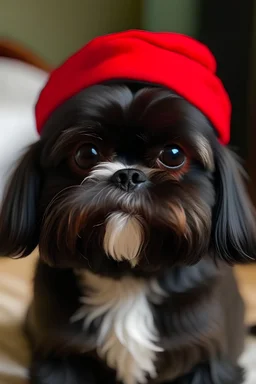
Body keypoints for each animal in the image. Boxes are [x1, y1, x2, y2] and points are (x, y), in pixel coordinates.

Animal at [0, 30, 256, 384]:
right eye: (87, 154)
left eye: (173, 155)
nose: (128, 175)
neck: (128, 279)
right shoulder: (59, 356)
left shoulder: (209, 360)